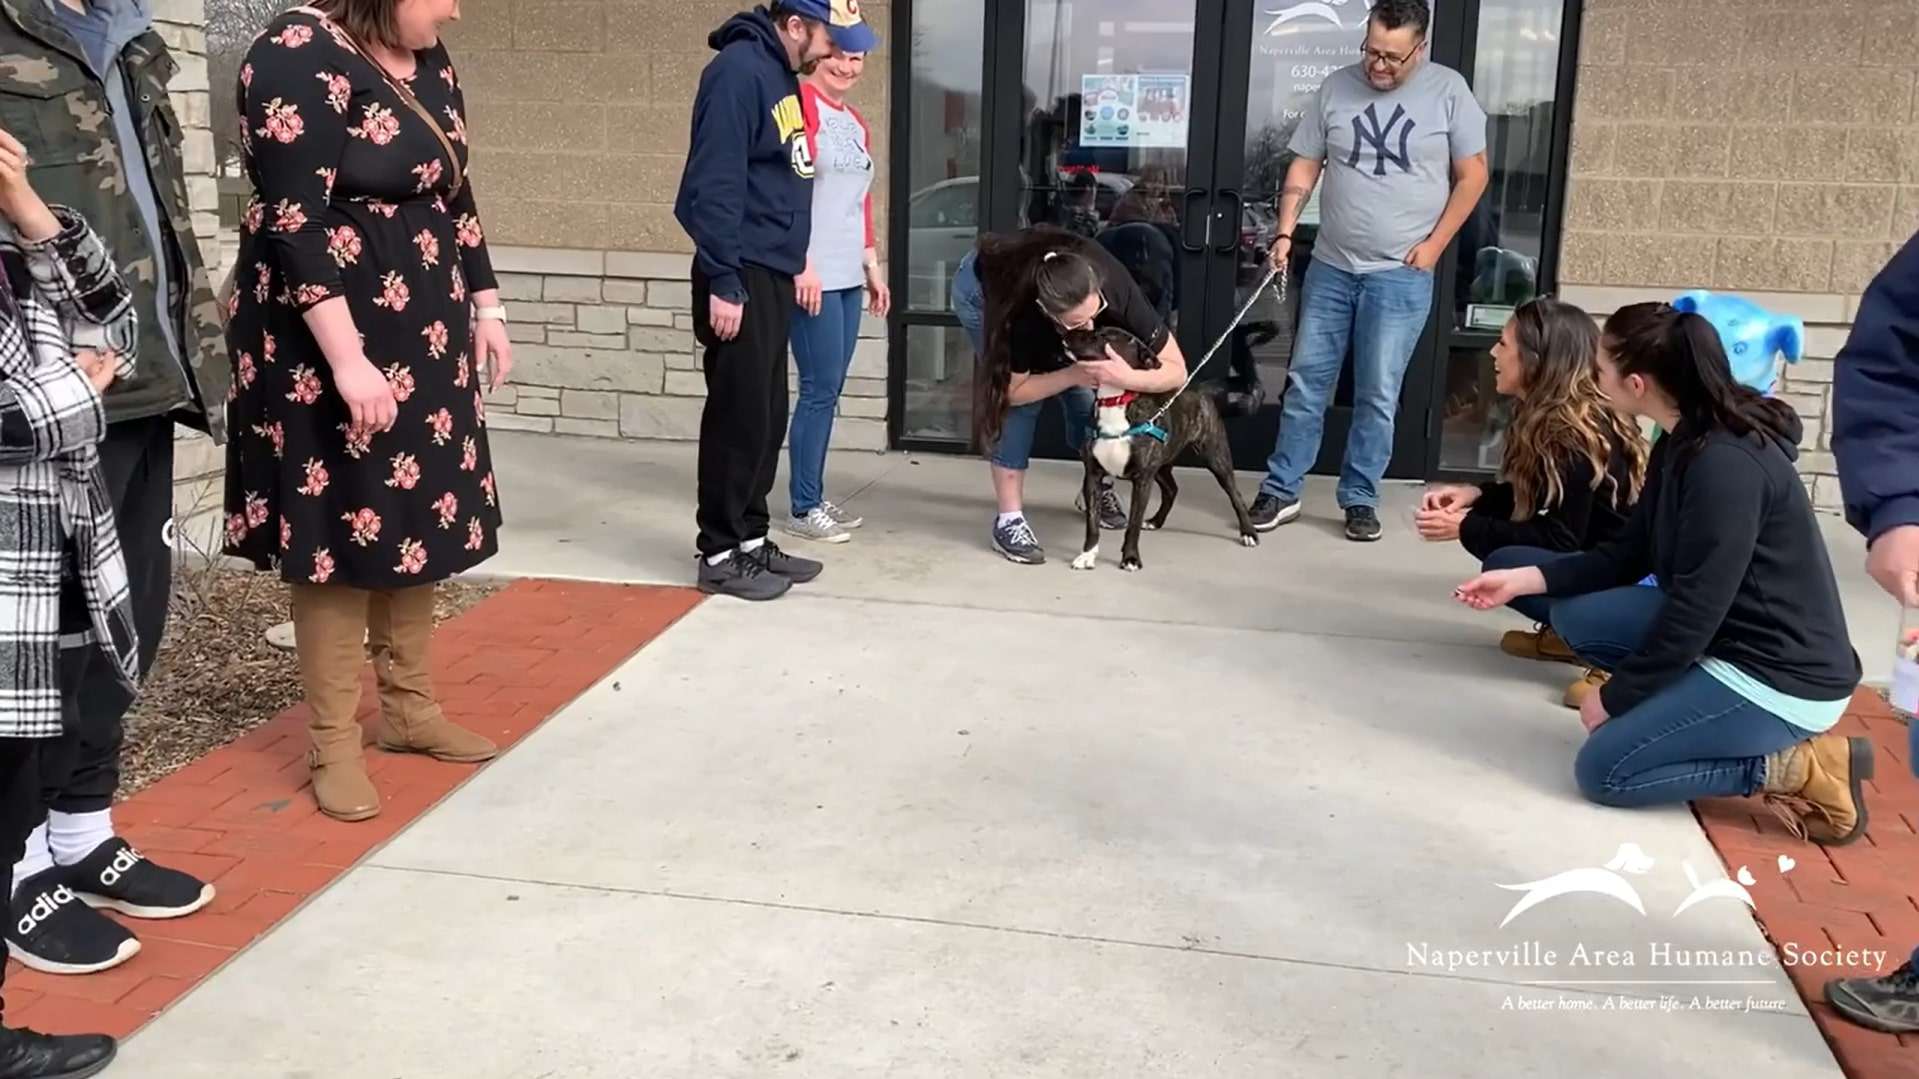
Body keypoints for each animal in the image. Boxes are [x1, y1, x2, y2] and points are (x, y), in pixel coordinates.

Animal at [1066, 326, 1258, 572]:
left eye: (1105, 336)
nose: (1069, 333)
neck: (1116, 399)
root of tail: (1200, 388)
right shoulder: (1093, 476)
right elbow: (1092, 523)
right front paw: (1087, 555)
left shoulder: (1142, 480)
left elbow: (1133, 524)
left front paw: (1130, 558)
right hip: (1162, 465)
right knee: (1171, 489)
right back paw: (1156, 520)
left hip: (1216, 458)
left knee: (1235, 495)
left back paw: (1249, 532)